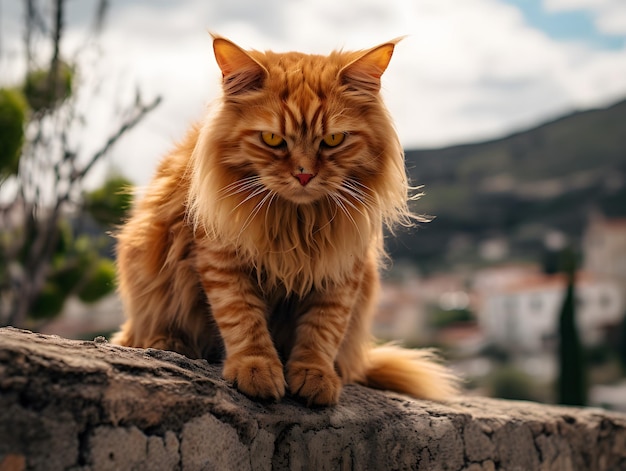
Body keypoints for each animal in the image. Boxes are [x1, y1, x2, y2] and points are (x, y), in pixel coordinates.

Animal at [109, 36, 456, 406]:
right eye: (273, 140)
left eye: (333, 140)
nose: (303, 174)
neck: (295, 219)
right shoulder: (221, 258)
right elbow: (243, 319)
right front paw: (256, 369)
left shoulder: (341, 270)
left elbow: (322, 330)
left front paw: (315, 375)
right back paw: (169, 343)